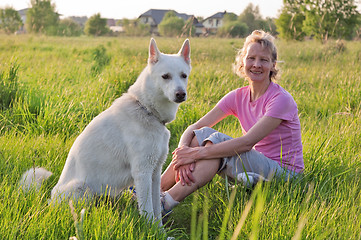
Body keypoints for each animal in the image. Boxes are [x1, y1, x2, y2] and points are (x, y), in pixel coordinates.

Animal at [20, 39, 190, 225]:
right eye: (165, 76)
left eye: (184, 76)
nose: (181, 94)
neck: (146, 109)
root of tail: (49, 201)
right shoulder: (143, 172)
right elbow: (148, 210)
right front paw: (150, 229)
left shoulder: (155, 173)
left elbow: (157, 210)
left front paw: (159, 229)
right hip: (82, 189)